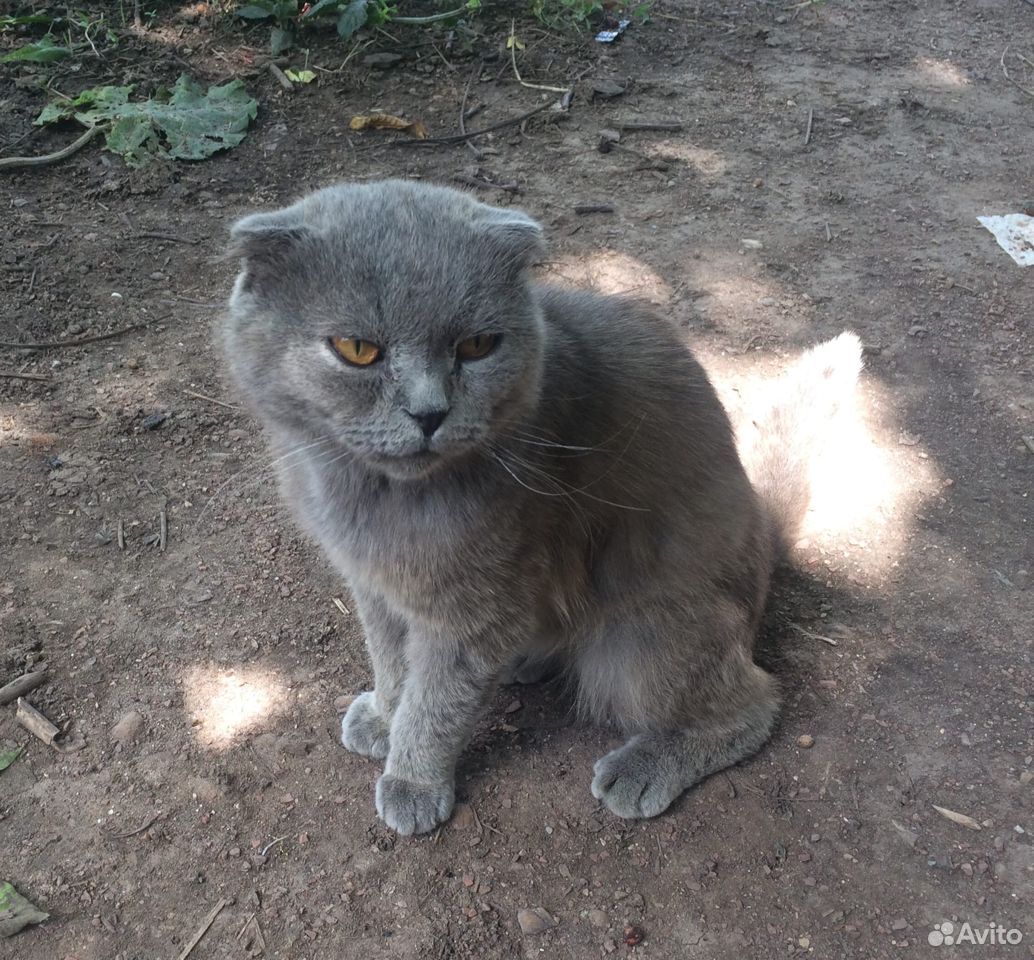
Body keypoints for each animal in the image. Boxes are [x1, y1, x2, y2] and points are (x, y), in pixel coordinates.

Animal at [222, 180, 860, 831]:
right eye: (357, 350)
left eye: (478, 345)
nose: (429, 414)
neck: (372, 496)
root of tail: (764, 545)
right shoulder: (373, 583)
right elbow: (391, 659)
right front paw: (382, 716)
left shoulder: (477, 604)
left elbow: (437, 698)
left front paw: (412, 780)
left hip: (646, 636)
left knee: (754, 701)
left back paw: (644, 767)